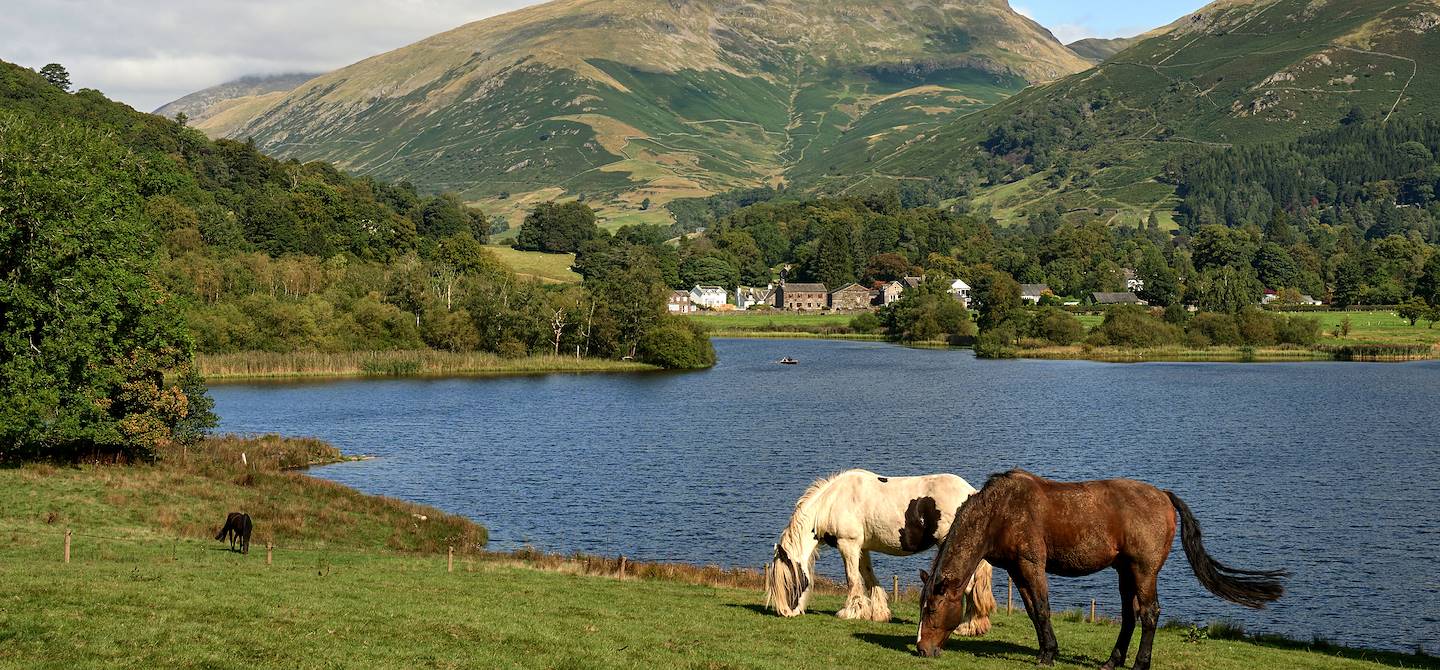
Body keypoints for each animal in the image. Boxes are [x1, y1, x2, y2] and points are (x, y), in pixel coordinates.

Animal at [771, 469, 996, 628]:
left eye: (789, 583)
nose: (785, 613)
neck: (832, 502)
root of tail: (972, 493)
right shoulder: (862, 548)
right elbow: (869, 578)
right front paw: (878, 613)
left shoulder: (848, 544)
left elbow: (852, 579)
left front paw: (849, 612)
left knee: (969, 585)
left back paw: (967, 626)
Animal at [915, 469, 1290, 668]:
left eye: (932, 609)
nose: (921, 648)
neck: (1001, 512)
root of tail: (1164, 496)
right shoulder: (1017, 571)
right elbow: (1035, 612)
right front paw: (1045, 650)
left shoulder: (1031, 565)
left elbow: (1042, 609)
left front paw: (1048, 655)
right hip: (1125, 571)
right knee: (1130, 616)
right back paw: (1114, 660)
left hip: (1143, 571)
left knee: (1150, 613)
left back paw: (1140, 662)